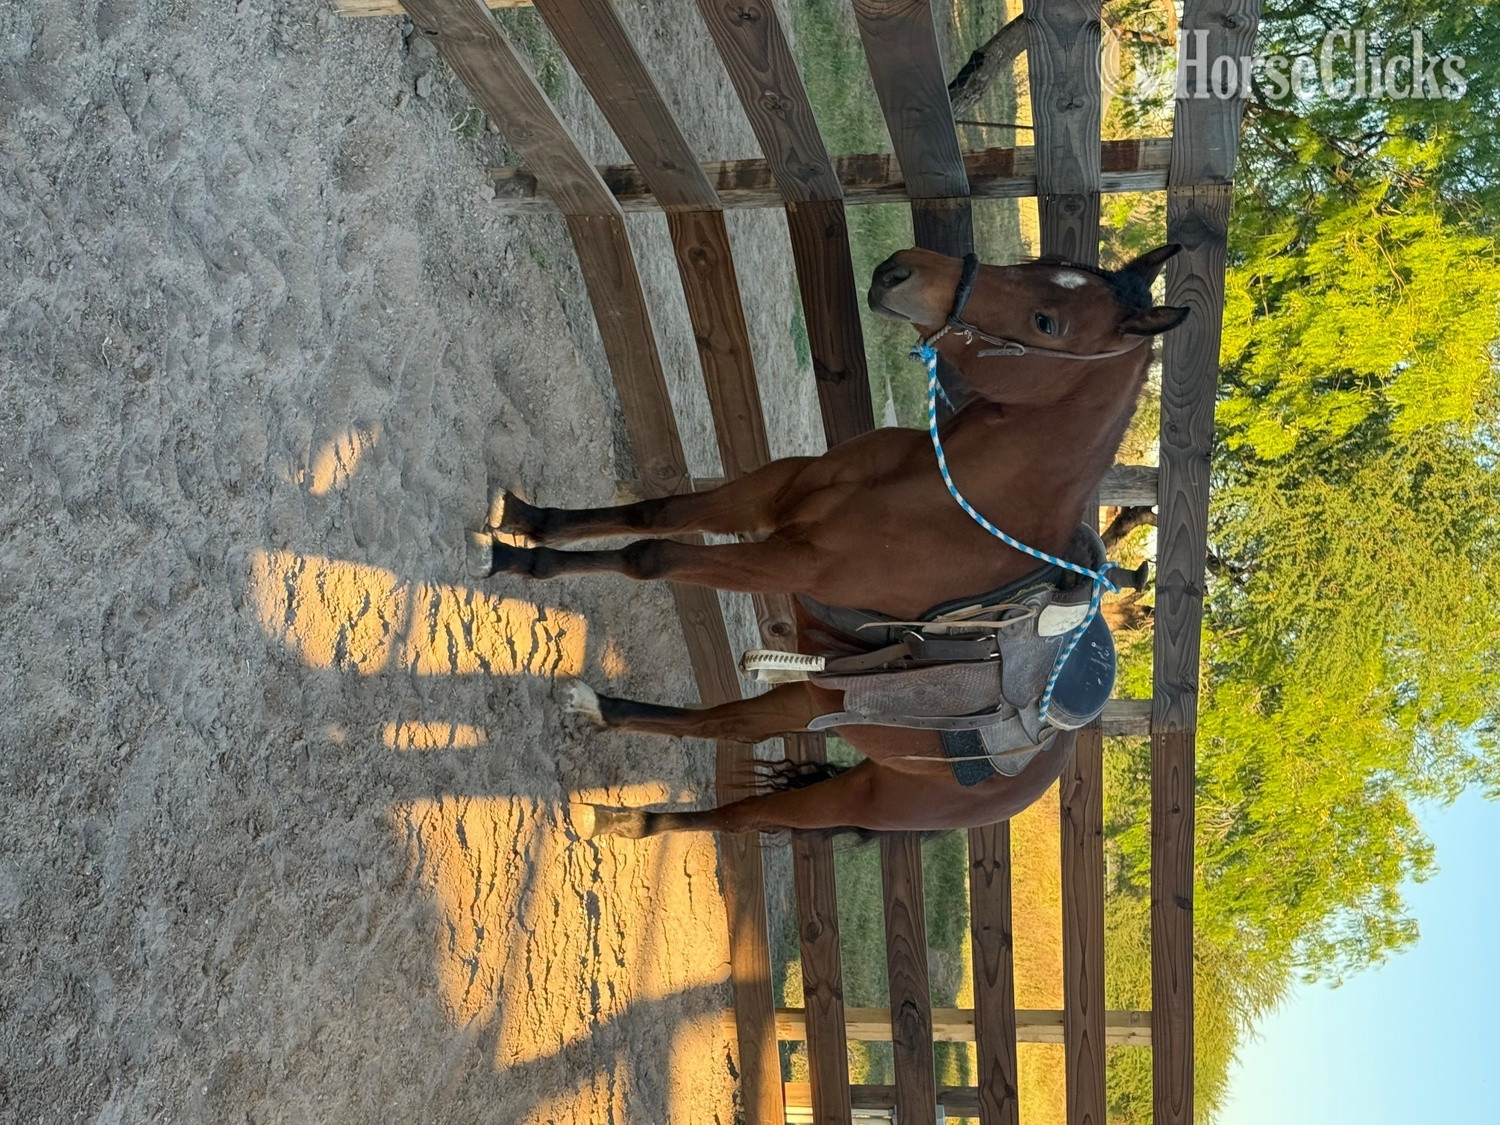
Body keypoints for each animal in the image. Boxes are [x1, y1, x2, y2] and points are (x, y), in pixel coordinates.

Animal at [471, 244, 1187, 839]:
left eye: (1046, 322)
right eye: (1037, 264)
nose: (900, 270)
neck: (938, 496)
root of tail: (1036, 770)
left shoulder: (785, 561)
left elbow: (652, 556)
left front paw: (515, 558)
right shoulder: (769, 494)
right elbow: (655, 512)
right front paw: (528, 522)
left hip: (854, 795)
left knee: (744, 816)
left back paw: (636, 822)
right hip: (814, 696)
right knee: (723, 724)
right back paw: (602, 719)